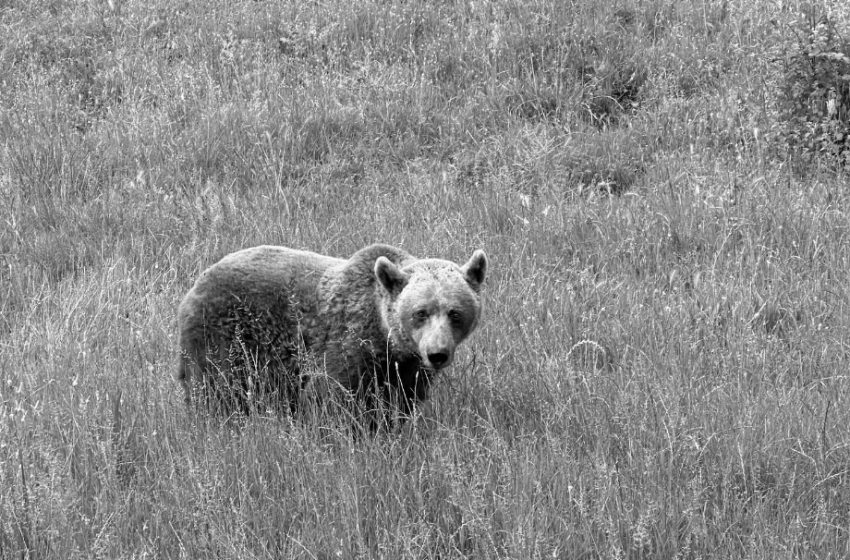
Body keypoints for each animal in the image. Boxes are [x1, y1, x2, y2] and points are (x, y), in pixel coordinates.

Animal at [176, 242, 486, 424]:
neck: (385, 339)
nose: (437, 354)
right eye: (421, 312)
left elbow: (400, 403)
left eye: (454, 313)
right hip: (226, 334)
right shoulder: (347, 345)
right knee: (218, 388)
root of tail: (196, 283)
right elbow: (338, 398)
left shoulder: (406, 369)